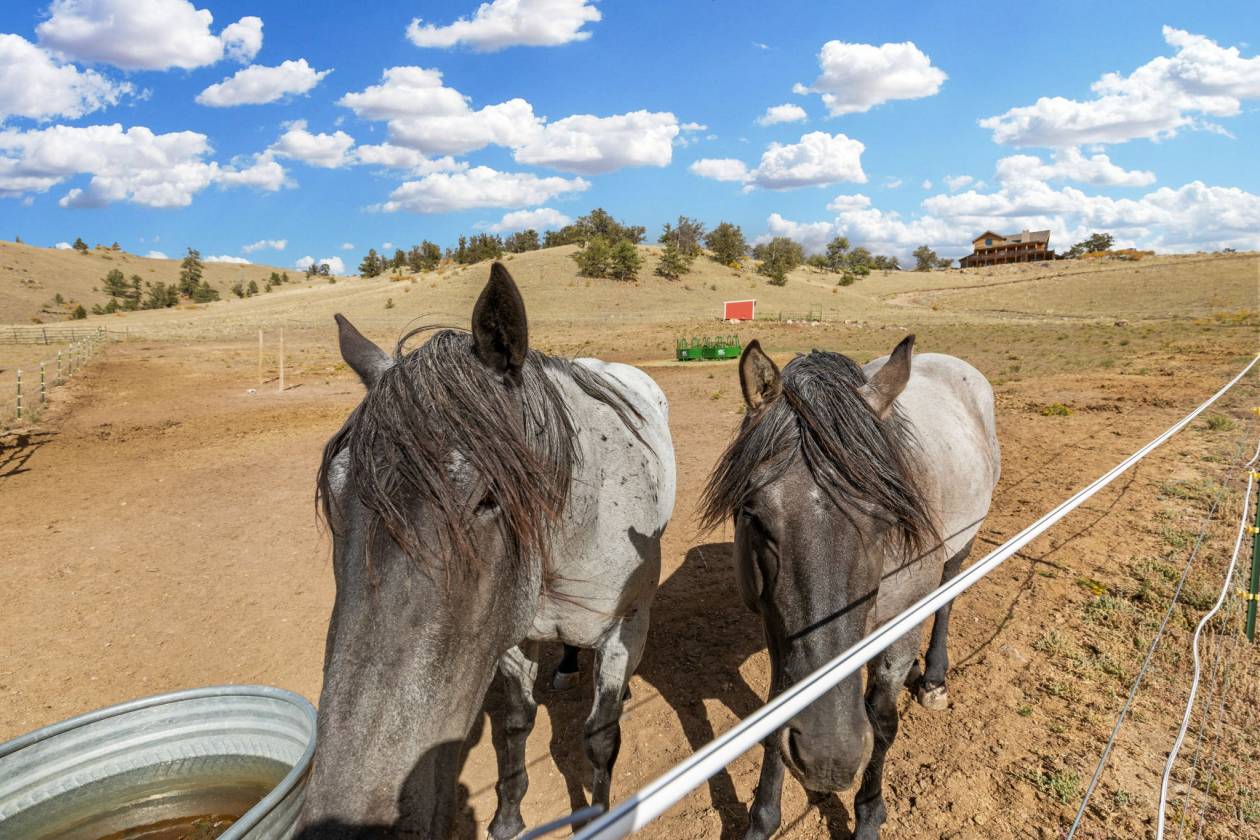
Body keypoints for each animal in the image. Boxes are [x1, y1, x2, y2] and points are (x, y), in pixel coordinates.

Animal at [297, 263, 676, 838]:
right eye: (336, 498)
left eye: (487, 498)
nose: (342, 823)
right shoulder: (513, 637)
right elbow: (516, 725)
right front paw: (508, 815)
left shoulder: (624, 628)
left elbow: (601, 737)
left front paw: (601, 817)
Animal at [701, 336, 1000, 839]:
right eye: (753, 515)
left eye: (887, 518)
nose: (829, 757)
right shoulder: (776, 629)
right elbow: (774, 716)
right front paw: (762, 820)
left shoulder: (898, 629)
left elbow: (881, 720)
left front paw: (868, 814)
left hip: (962, 547)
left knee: (945, 603)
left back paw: (933, 678)